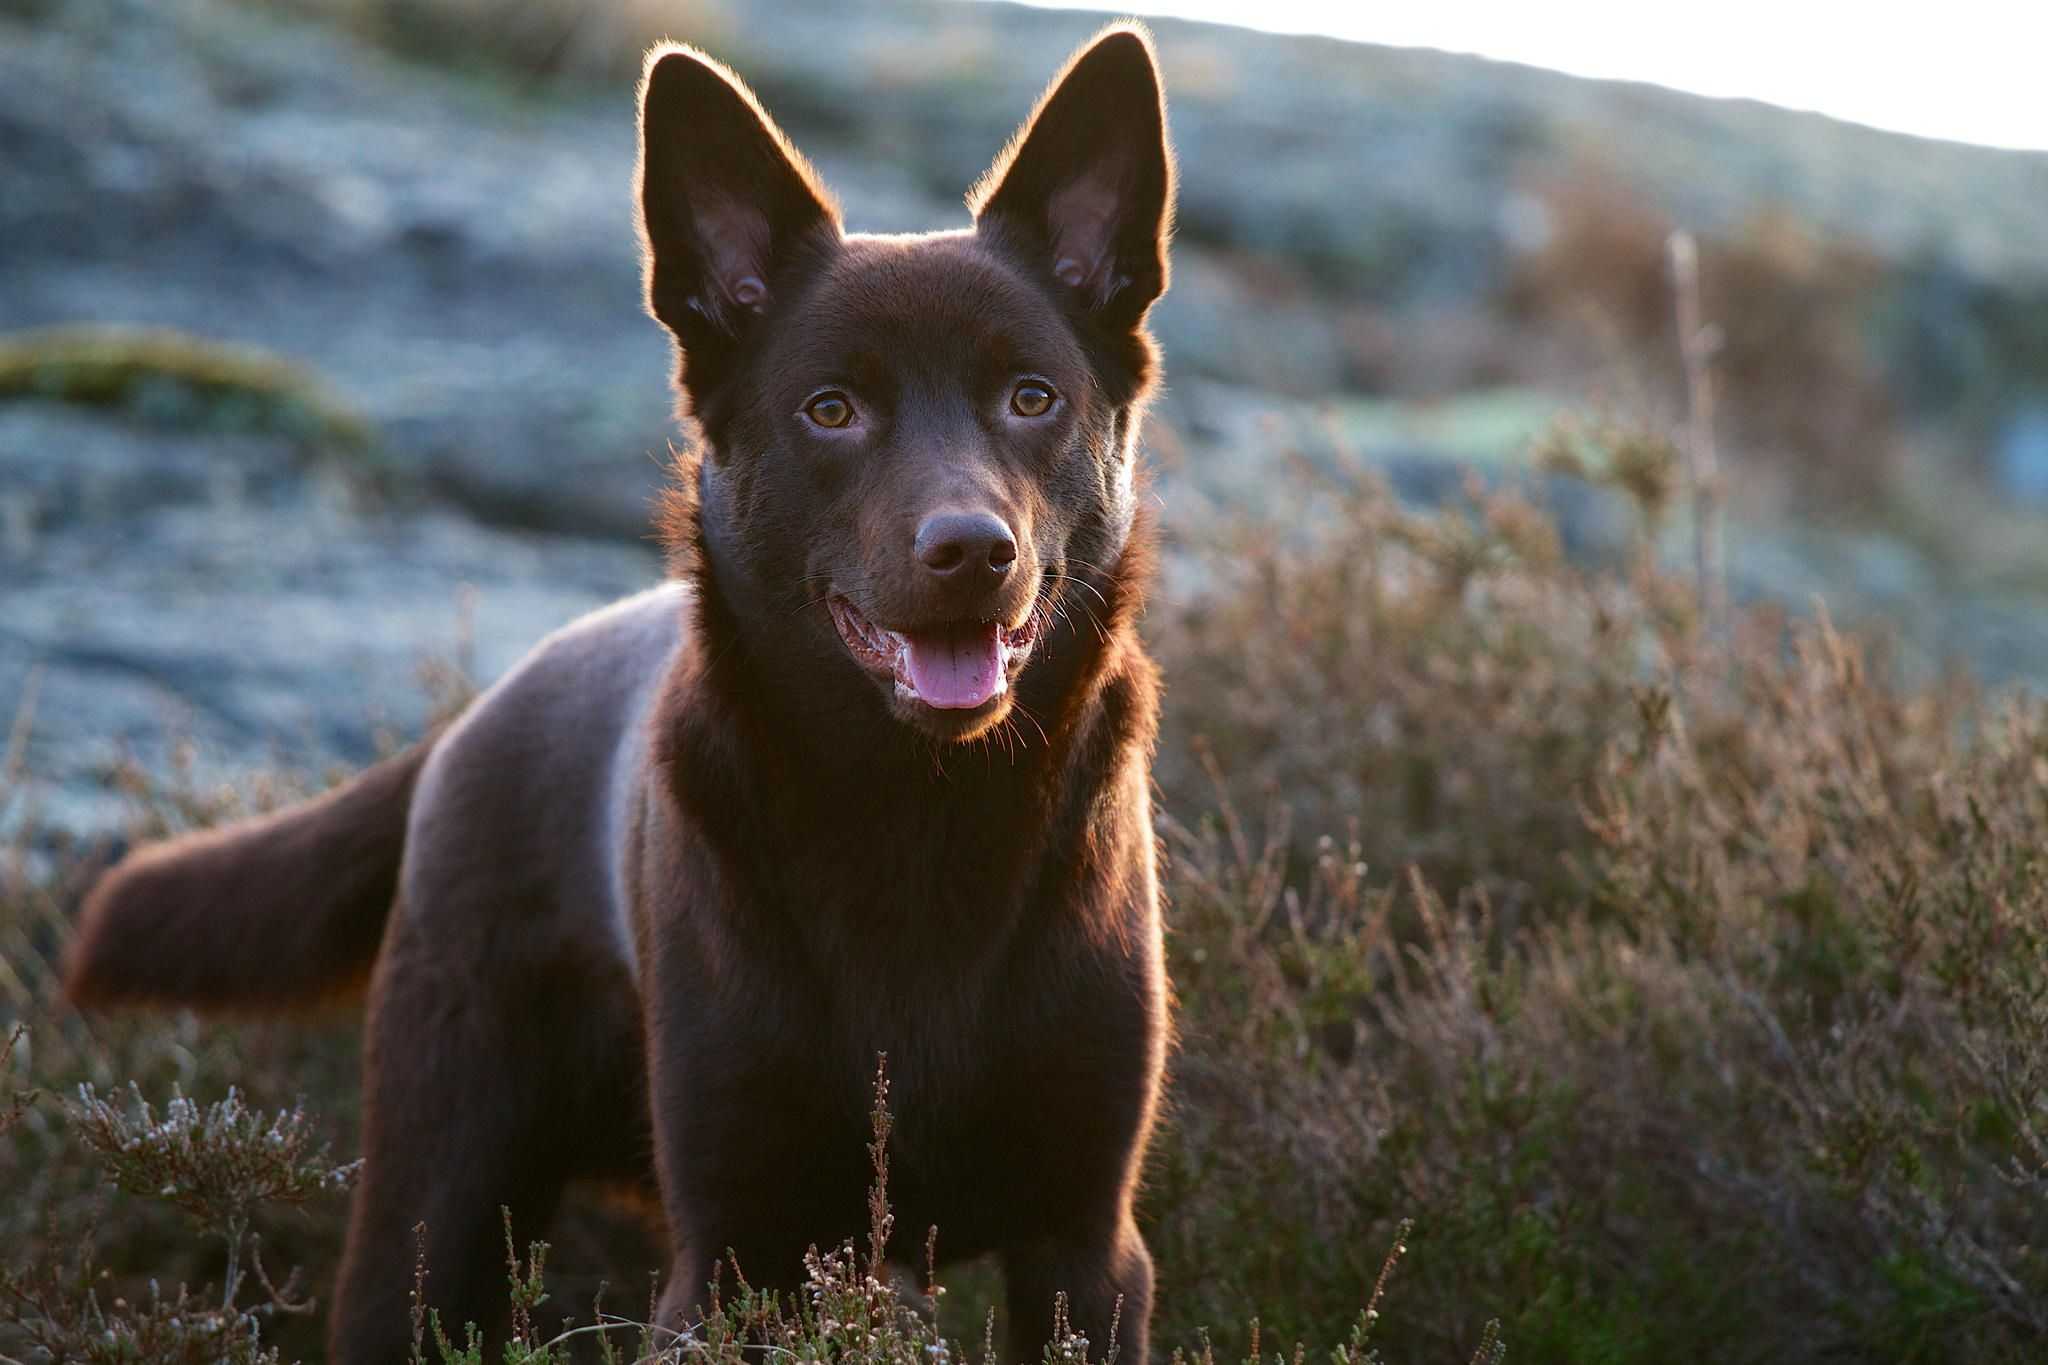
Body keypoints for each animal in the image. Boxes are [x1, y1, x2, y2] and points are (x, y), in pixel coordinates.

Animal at [64, 24, 1179, 1365]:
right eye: (831, 410)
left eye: (1031, 398)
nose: (970, 551)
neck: (917, 813)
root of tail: (470, 720)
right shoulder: (734, 1251)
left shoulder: (1082, 1243)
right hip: (436, 1192)